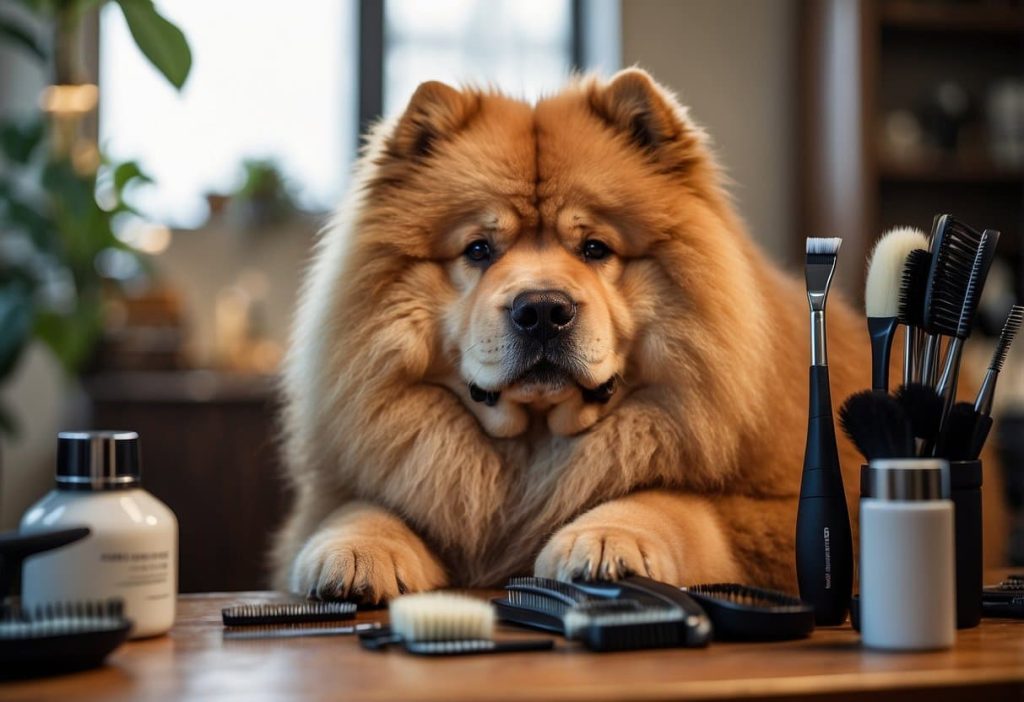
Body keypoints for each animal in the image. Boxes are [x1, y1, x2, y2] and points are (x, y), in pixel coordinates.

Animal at [270, 68, 999, 601]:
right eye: (478, 250)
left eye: (595, 248)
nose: (542, 309)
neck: (533, 456)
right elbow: (361, 509)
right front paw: (357, 551)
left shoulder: (783, 508)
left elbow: (673, 498)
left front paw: (605, 540)